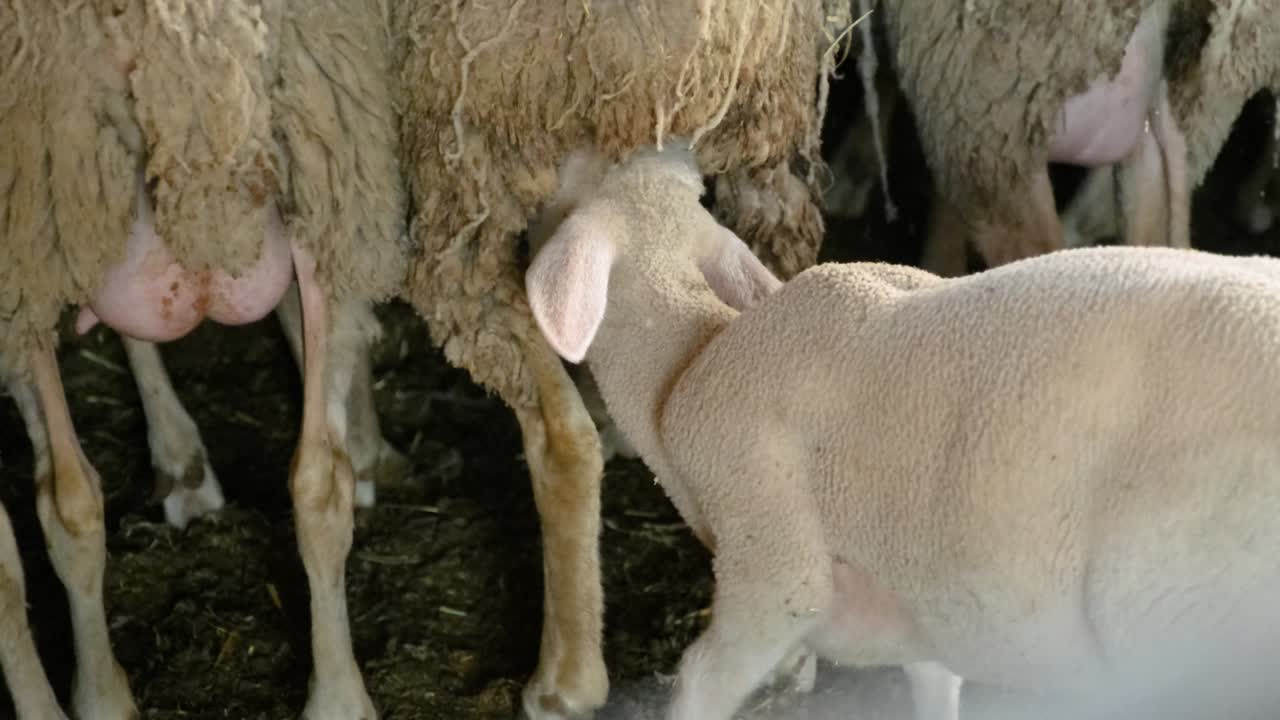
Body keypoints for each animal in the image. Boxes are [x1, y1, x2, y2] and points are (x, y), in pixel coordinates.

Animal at [1, 1, 406, 718]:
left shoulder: (316, 163)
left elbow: (318, 486)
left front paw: (338, 695)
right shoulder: (26, 246)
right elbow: (68, 508)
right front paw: (100, 697)